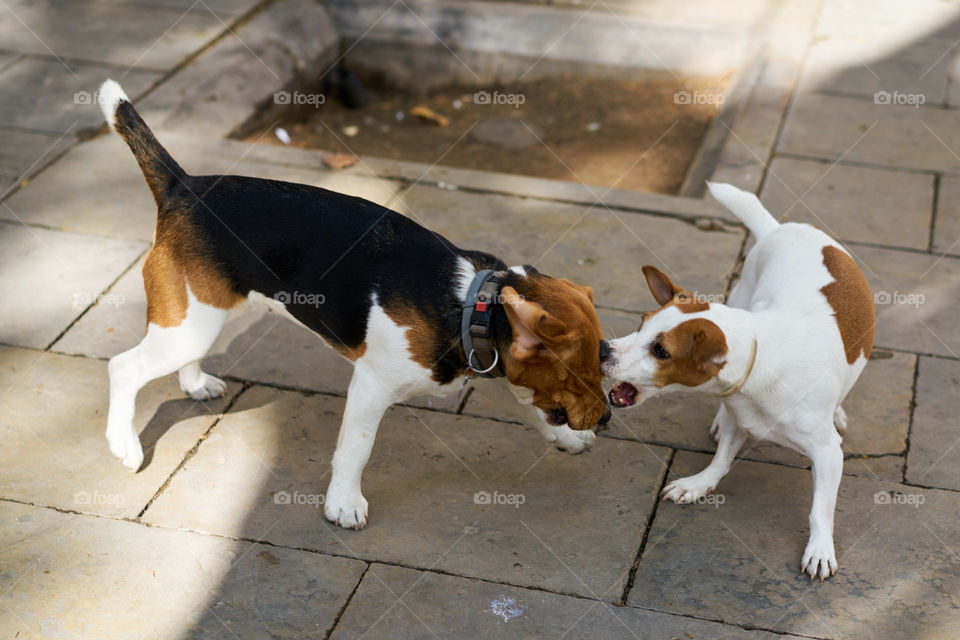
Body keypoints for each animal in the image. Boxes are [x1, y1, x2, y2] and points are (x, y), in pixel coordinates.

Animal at [97, 81, 608, 528]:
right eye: (578, 373)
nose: (606, 420)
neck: (468, 302)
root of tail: (183, 186)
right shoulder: (371, 387)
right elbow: (356, 449)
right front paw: (343, 504)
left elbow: (533, 407)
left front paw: (566, 438)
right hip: (188, 325)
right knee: (123, 368)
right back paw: (125, 443)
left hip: (201, 319)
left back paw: (195, 384)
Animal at [604, 181, 872, 580]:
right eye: (642, 321)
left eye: (660, 350)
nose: (602, 350)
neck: (761, 367)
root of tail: (779, 228)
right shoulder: (738, 414)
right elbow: (722, 458)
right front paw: (699, 484)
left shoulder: (827, 453)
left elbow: (820, 509)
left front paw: (820, 548)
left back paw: (837, 412)